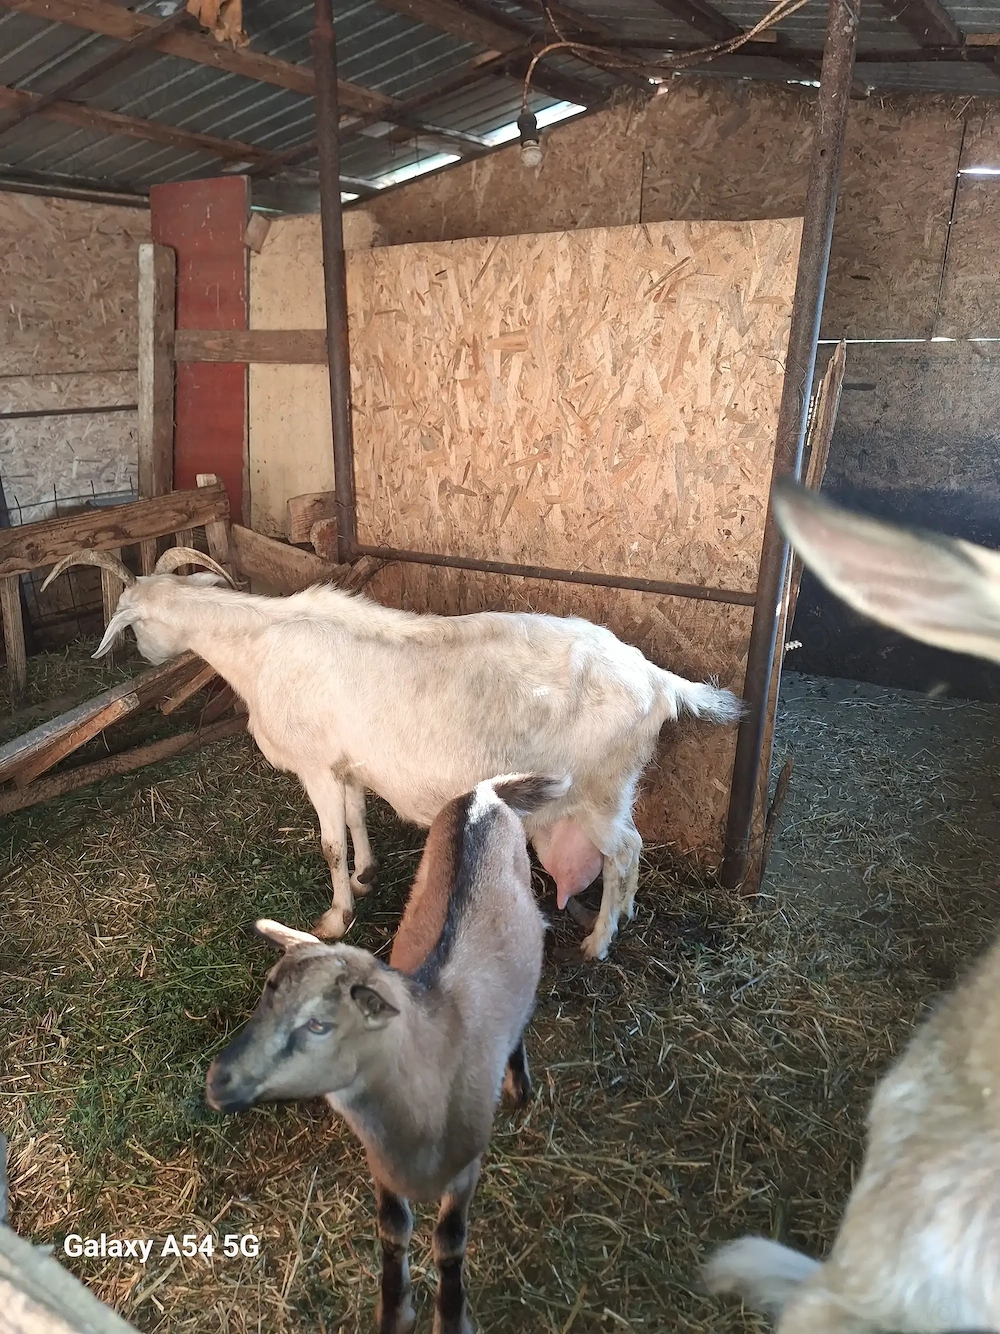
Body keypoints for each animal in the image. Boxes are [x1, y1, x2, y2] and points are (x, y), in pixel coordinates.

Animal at [44, 549, 742, 960]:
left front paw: (334, 918)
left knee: (626, 849)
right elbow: (356, 819)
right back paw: (618, 915)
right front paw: (366, 875)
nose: (143, 656)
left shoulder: (315, 763)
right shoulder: (346, 762)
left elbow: (329, 841)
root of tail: (658, 681)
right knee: (630, 850)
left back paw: (599, 940)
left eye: (132, 622)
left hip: (598, 788)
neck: (257, 643)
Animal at [205, 772, 563, 1334]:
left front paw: (450, 1316)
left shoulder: (466, 1168)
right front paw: (394, 1310)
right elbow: (392, 1233)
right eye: (266, 994)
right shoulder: (382, 1169)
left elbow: (449, 1243)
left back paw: (519, 1084)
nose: (217, 1079)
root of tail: (483, 795)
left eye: (319, 1024)